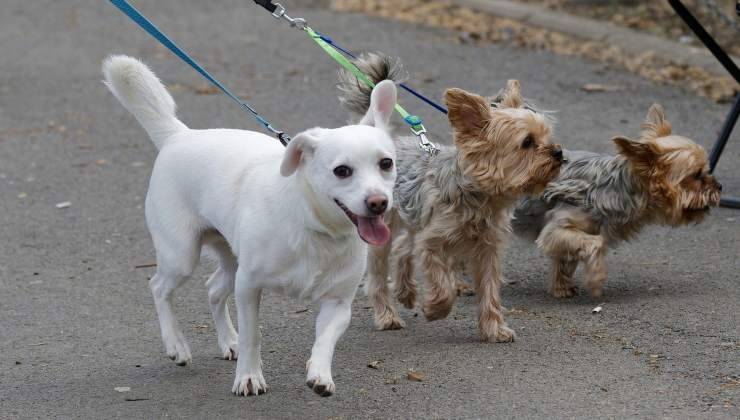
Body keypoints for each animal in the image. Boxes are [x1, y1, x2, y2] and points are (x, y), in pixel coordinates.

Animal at [102, 55, 398, 398]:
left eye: (386, 163)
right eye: (342, 171)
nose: (378, 202)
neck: (312, 226)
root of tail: (179, 135)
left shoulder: (337, 304)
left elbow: (325, 342)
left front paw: (320, 374)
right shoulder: (248, 287)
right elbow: (252, 336)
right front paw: (249, 377)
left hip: (231, 260)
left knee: (213, 289)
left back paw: (228, 341)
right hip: (182, 257)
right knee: (159, 287)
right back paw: (177, 345)